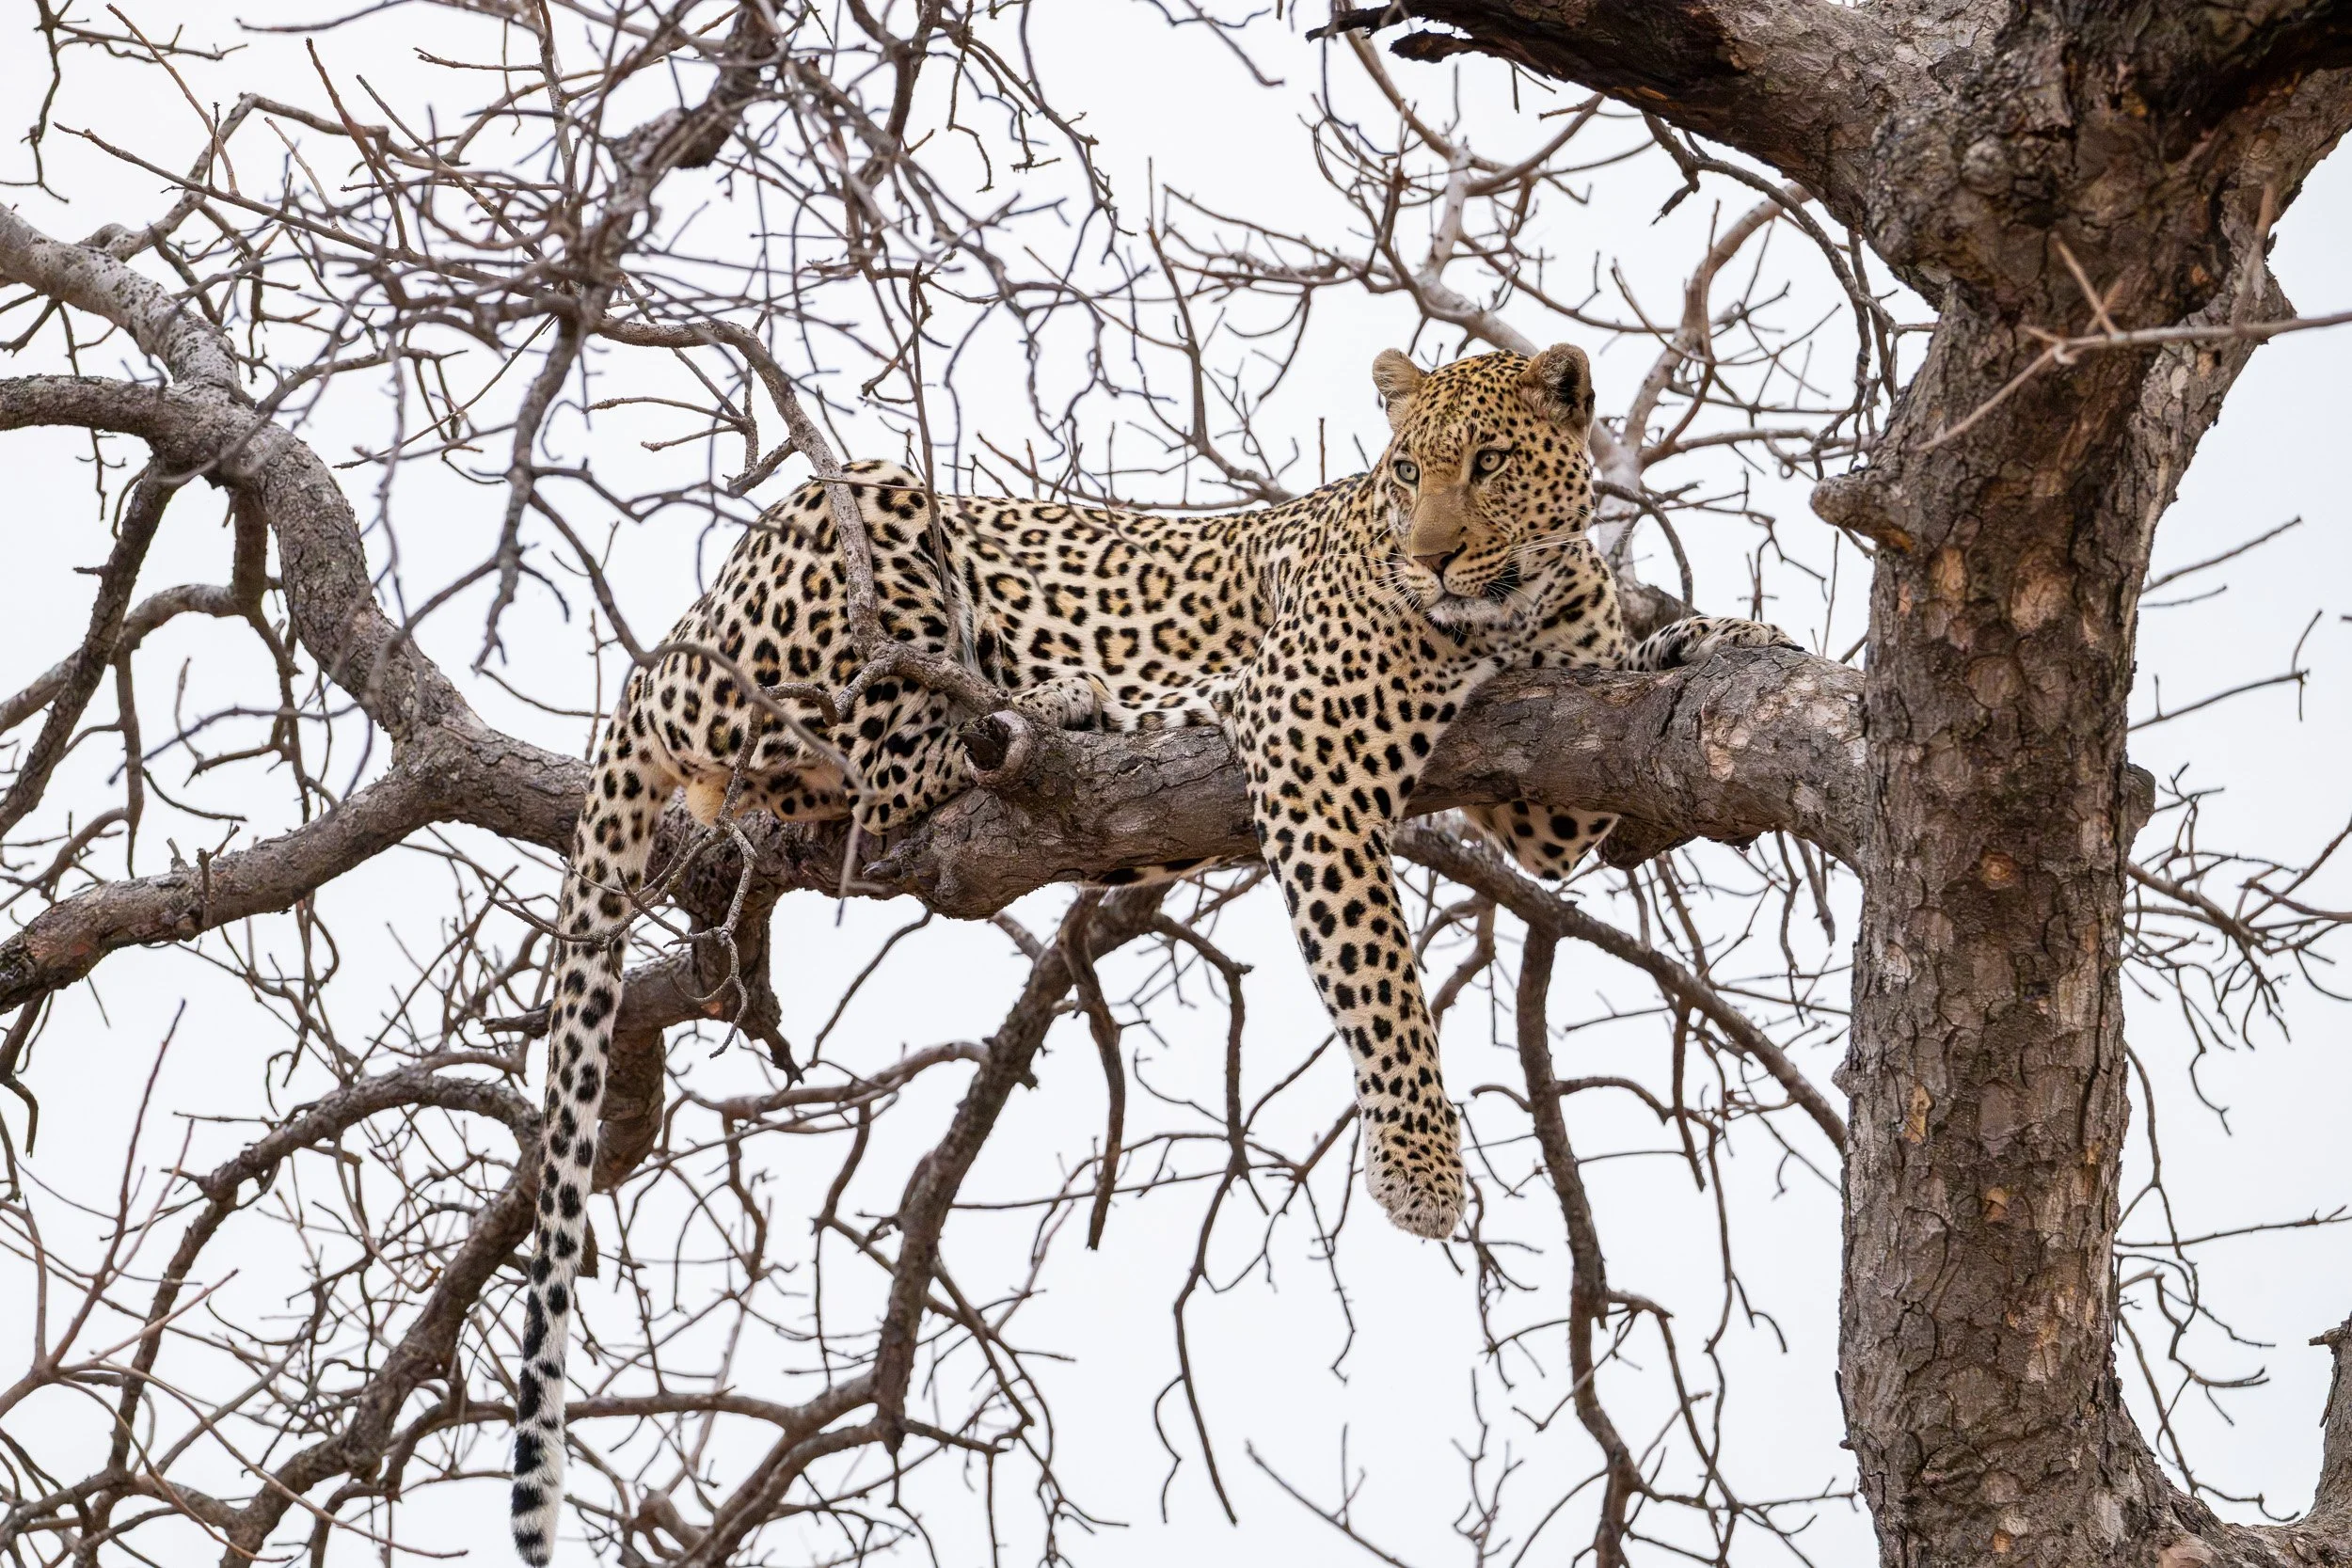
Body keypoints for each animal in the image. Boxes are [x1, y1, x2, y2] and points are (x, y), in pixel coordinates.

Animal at [505, 342, 1795, 1564]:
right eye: (1403, 471)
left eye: (1487, 463)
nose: (1429, 560)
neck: (1523, 608)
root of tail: (671, 642)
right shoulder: (1310, 743)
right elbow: (1379, 973)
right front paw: (1422, 1174)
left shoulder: (1555, 794)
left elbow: (1627, 691)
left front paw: (1718, 632)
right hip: (867, 503)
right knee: (867, 758)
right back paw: (1059, 706)